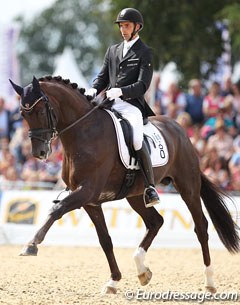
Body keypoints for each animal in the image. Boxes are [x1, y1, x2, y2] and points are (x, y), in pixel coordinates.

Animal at [9, 76, 238, 294]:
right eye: (22, 114)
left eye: (40, 110)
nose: (39, 153)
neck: (84, 132)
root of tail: (179, 130)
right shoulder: (90, 201)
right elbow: (105, 240)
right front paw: (113, 281)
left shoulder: (86, 192)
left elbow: (56, 210)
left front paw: (31, 244)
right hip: (136, 195)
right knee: (155, 222)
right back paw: (142, 270)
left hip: (187, 187)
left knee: (201, 227)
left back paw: (209, 282)